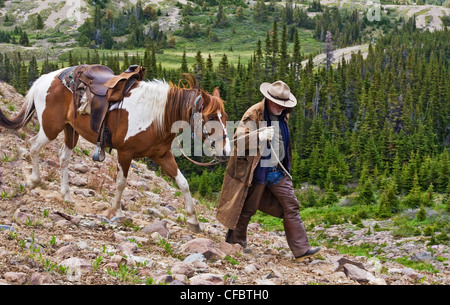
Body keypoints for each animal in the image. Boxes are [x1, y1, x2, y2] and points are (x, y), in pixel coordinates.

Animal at [0, 67, 230, 233]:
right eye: (210, 117)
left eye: (225, 117)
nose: (226, 153)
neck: (157, 116)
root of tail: (44, 79)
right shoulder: (125, 153)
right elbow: (121, 183)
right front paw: (116, 212)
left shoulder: (162, 155)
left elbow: (183, 183)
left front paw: (193, 220)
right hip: (51, 127)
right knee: (33, 145)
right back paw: (34, 180)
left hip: (70, 130)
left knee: (63, 158)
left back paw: (66, 195)